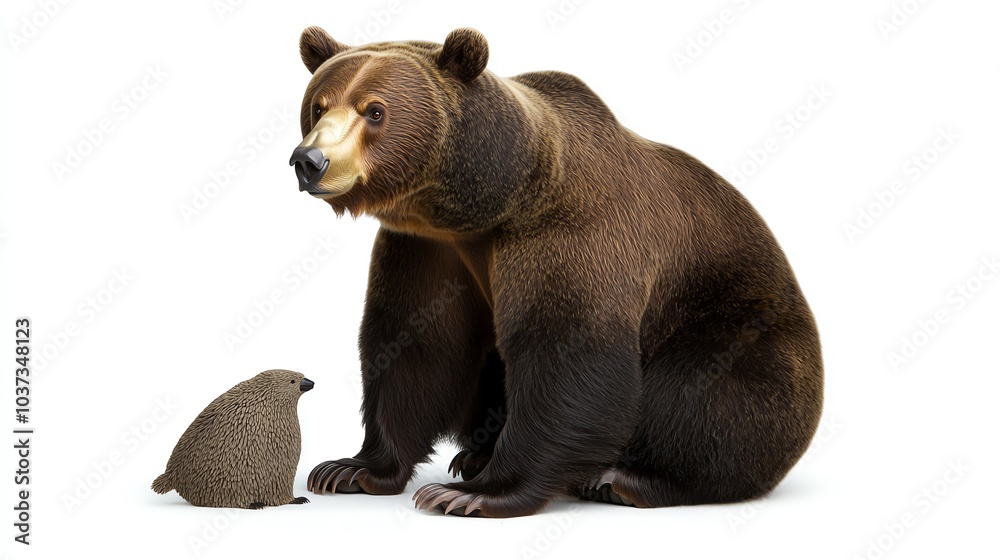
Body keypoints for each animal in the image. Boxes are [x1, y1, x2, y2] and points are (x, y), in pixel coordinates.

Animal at [289, 26, 823, 518]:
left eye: (374, 111)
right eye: (318, 106)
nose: (309, 161)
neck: (487, 206)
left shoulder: (572, 233)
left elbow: (568, 352)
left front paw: (472, 494)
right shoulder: (426, 248)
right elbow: (416, 343)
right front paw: (350, 469)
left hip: (740, 323)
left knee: (706, 392)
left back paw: (623, 478)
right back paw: (475, 455)